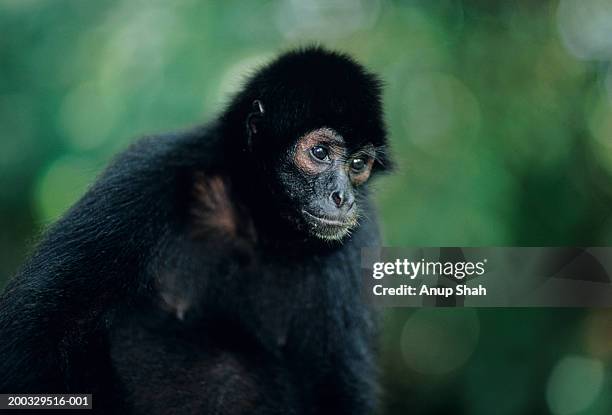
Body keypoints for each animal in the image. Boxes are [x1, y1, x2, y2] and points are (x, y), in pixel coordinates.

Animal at [0, 47, 392, 414]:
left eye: (358, 164)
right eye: (320, 152)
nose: (342, 197)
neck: (253, 220)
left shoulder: (355, 240)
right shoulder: (146, 174)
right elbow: (37, 332)